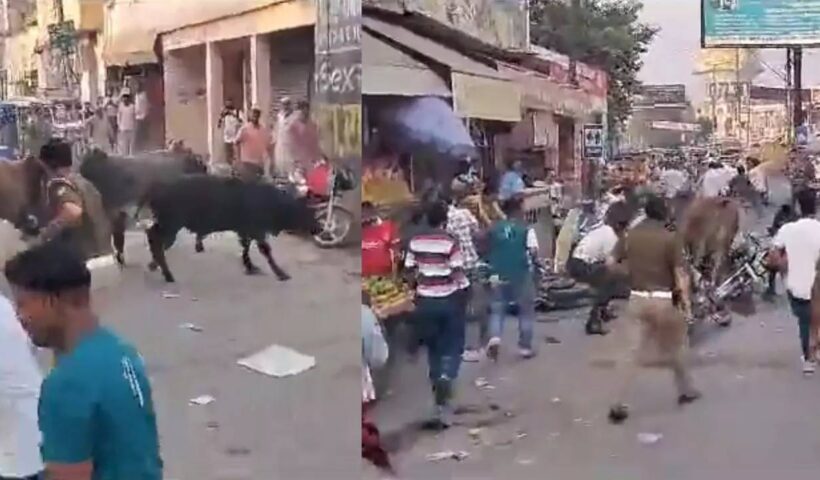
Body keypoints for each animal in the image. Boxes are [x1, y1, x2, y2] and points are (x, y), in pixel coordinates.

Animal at [140, 174, 320, 283]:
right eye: (305, 213)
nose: (319, 228)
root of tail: (155, 190)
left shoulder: (245, 230)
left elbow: (246, 248)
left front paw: (250, 266)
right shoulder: (256, 230)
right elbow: (266, 251)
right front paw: (281, 273)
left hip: (167, 225)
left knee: (153, 238)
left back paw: (154, 265)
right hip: (171, 225)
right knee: (155, 239)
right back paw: (167, 274)